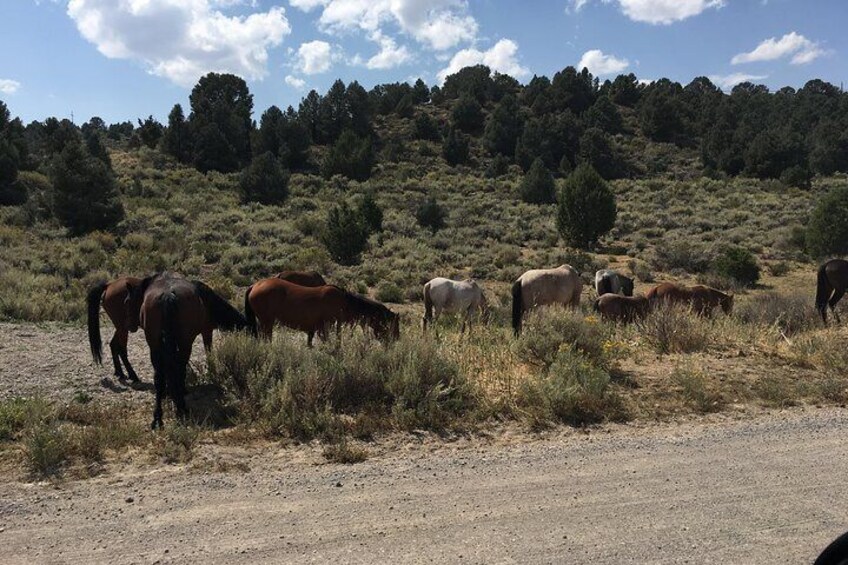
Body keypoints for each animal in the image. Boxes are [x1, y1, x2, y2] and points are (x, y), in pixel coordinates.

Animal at [243, 276, 400, 344]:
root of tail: (254, 285)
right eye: (393, 325)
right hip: (266, 321)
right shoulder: (325, 327)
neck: (344, 302)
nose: (396, 339)